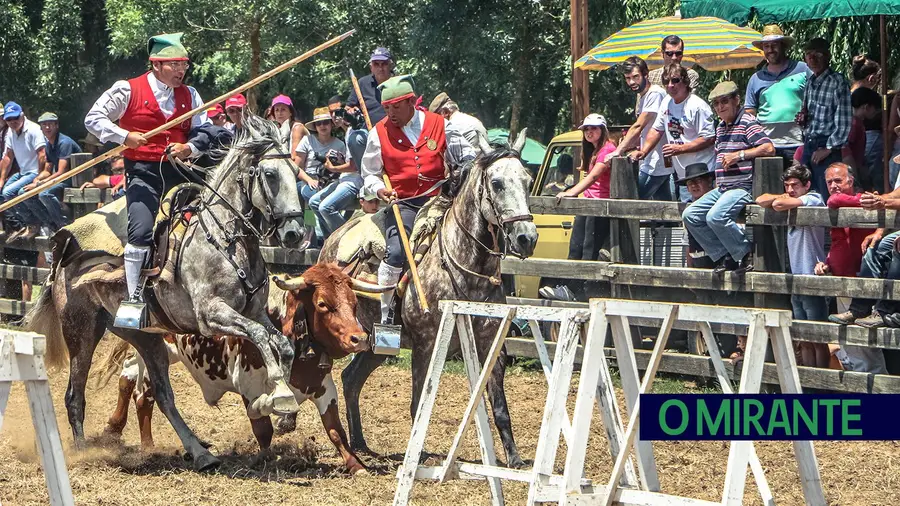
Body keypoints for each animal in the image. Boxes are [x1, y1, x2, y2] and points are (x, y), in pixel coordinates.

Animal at [28, 113, 304, 470]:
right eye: (270, 174)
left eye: (295, 172)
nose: (295, 233)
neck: (224, 238)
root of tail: (64, 256)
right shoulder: (212, 315)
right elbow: (258, 336)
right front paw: (280, 397)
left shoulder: (253, 312)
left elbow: (283, 346)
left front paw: (283, 408)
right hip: (81, 332)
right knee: (75, 396)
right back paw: (83, 451)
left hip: (145, 338)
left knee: (162, 395)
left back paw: (200, 452)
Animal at [102, 260, 390, 474]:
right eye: (322, 304)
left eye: (354, 302)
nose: (359, 338)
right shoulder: (248, 385)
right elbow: (263, 427)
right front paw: (262, 457)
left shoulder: (323, 388)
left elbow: (335, 430)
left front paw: (356, 465)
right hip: (158, 348)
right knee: (144, 389)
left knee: (134, 382)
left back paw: (141, 440)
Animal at [320, 131, 536, 466]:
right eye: (497, 183)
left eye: (527, 180)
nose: (527, 237)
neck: (464, 269)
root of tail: (333, 238)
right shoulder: (425, 346)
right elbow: (418, 404)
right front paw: (417, 455)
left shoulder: (492, 346)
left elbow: (500, 407)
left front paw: (514, 460)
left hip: (371, 343)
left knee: (351, 379)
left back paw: (360, 443)